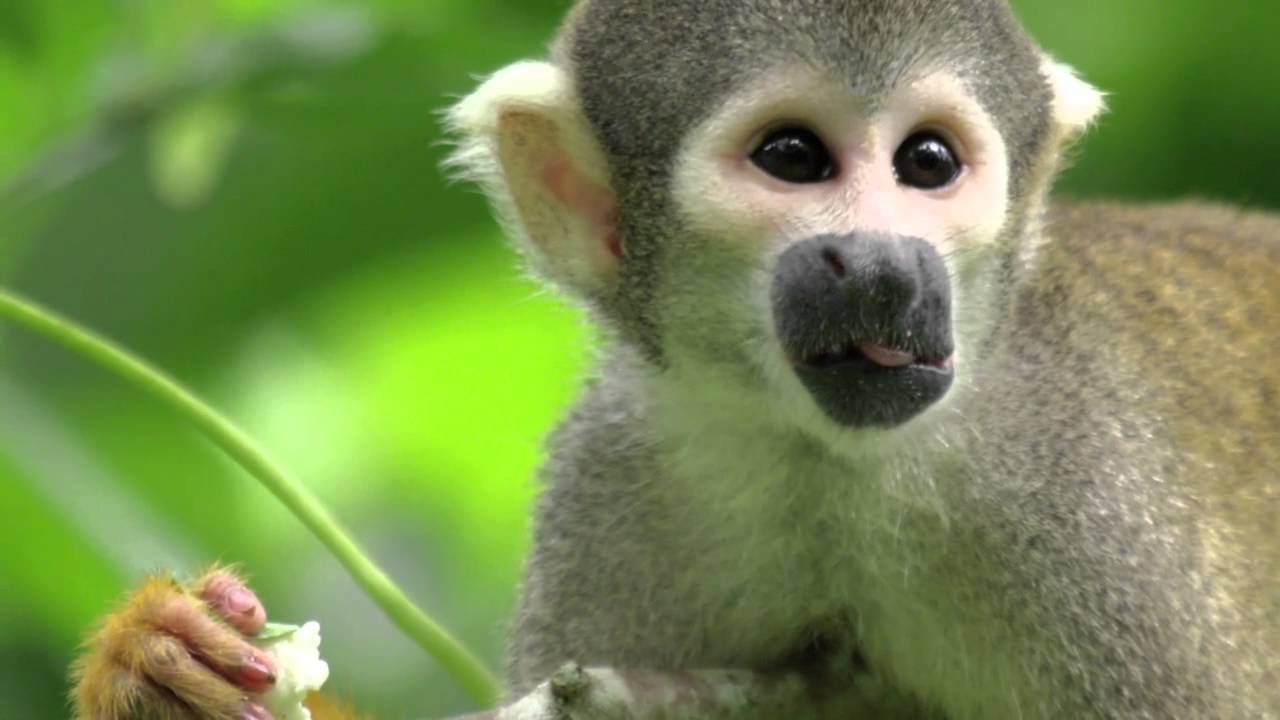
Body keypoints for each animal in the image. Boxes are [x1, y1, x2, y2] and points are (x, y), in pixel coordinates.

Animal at [72, 0, 1280, 718]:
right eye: (791, 156)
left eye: (928, 163)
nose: (882, 263)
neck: (837, 468)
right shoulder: (616, 494)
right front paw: (157, 663)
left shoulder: (1088, 518)